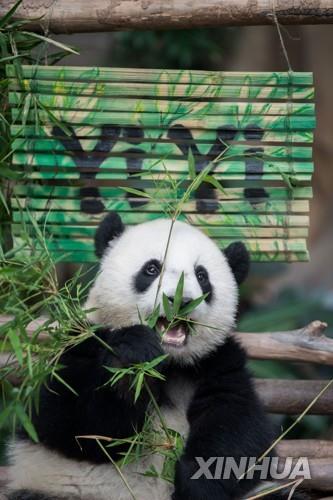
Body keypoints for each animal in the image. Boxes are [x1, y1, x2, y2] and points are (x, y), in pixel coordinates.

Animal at [7, 214, 282, 500]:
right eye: (151, 269)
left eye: (201, 275)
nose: (181, 300)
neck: (168, 363)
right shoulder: (82, 343)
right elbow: (79, 425)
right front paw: (133, 358)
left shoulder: (216, 361)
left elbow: (239, 426)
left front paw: (196, 482)